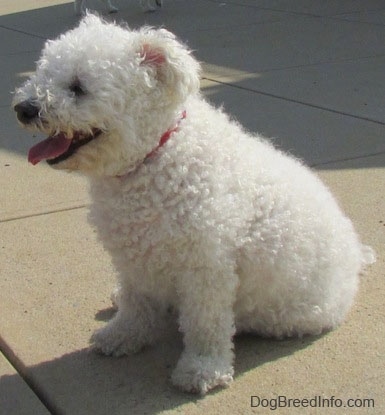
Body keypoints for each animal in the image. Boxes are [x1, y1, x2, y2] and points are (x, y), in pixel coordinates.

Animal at [13, 14, 374, 394]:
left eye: (78, 87)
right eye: (42, 73)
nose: (24, 108)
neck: (155, 155)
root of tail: (355, 256)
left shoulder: (206, 266)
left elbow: (205, 322)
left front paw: (202, 369)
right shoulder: (134, 257)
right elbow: (135, 303)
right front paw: (122, 335)